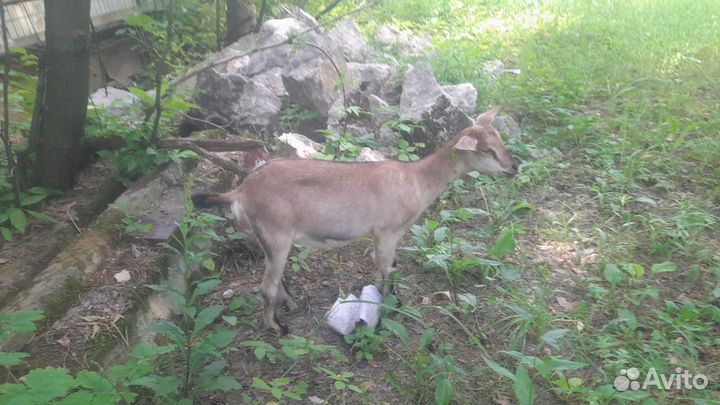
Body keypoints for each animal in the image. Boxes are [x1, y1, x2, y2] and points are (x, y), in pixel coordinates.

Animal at [192, 106, 518, 335]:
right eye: (486, 151)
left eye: (500, 140)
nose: (513, 169)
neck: (417, 180)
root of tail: (241, 191)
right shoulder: (388, 231)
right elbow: (389, 270)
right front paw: (391, 309)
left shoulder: (378, 234)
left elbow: (380, 270)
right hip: (277, 233)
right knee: (266, 286)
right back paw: (278, 327)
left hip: (266, 238)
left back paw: (293, 305)